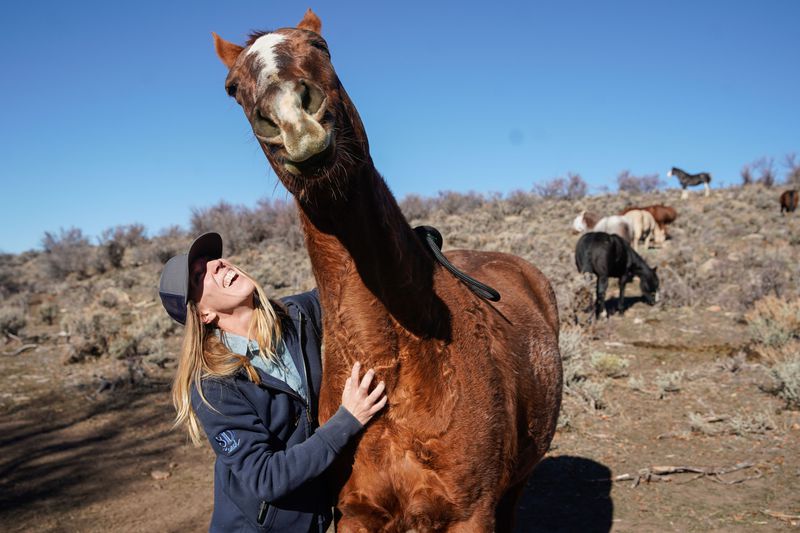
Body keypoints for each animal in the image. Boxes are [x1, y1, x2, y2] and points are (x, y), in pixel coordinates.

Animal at [213, 10, 563, 532]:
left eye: (320, 45)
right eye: (233, 87)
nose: (293, 117)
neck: (395, 357)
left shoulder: (471, 513)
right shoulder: (356, 515)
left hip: (516, 483)